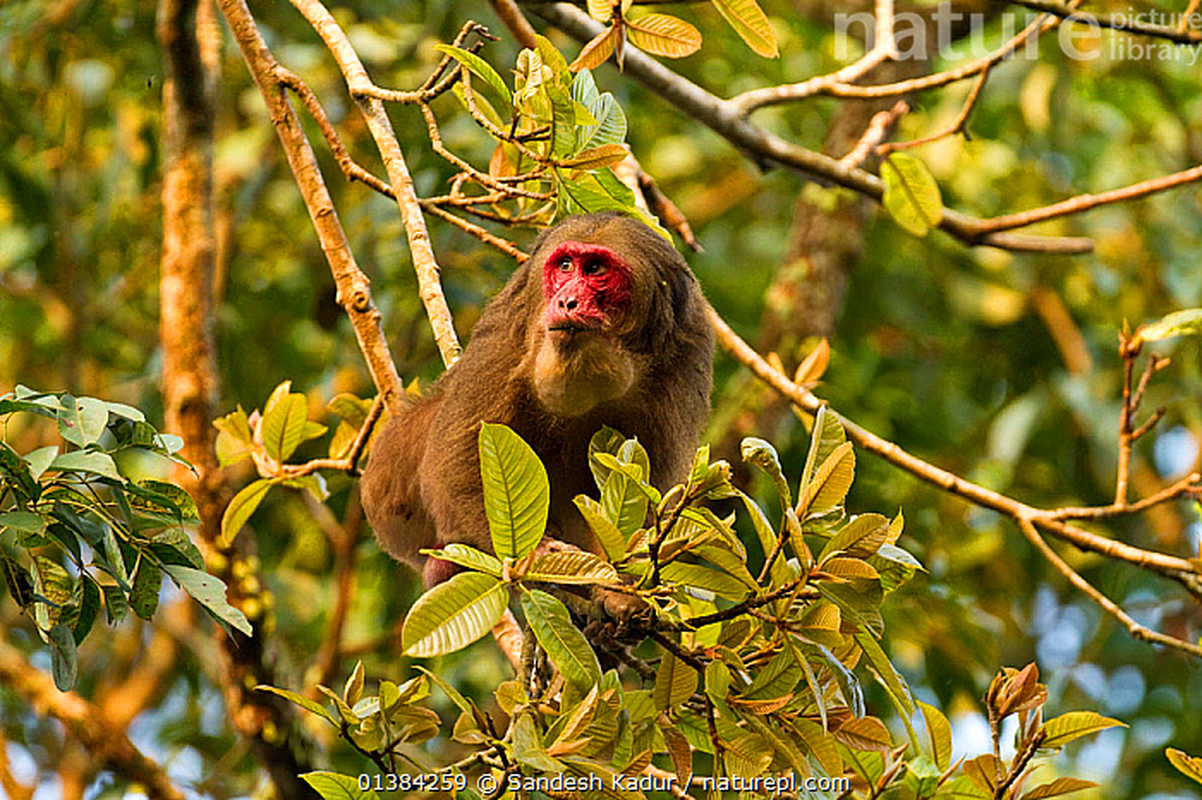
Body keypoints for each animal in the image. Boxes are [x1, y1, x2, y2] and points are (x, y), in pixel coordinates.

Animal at [355, 211, 711, 598]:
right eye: (566, 266)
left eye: (596, 269)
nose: (566, 301)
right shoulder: (512, 325)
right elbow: (457, 457)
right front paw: (535, 554)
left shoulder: (688, 353)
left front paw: (620, 596)